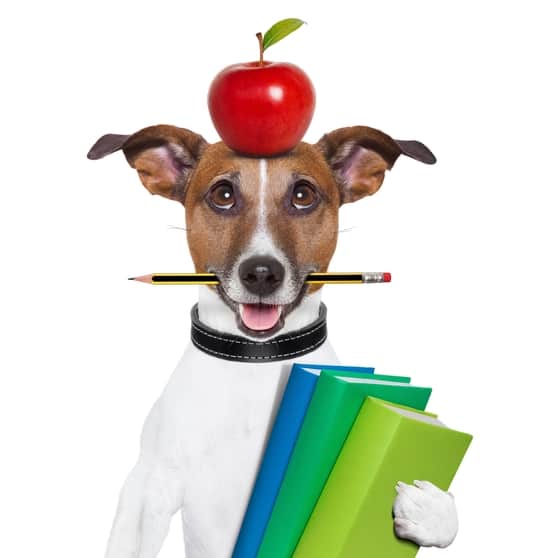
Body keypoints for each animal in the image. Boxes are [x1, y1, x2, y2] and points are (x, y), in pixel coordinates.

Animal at [88, 126, 460, 558]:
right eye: (223, 195)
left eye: (303, 195)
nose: (262, 273)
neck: (257, 362)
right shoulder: (150, 486)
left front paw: (430, 510)